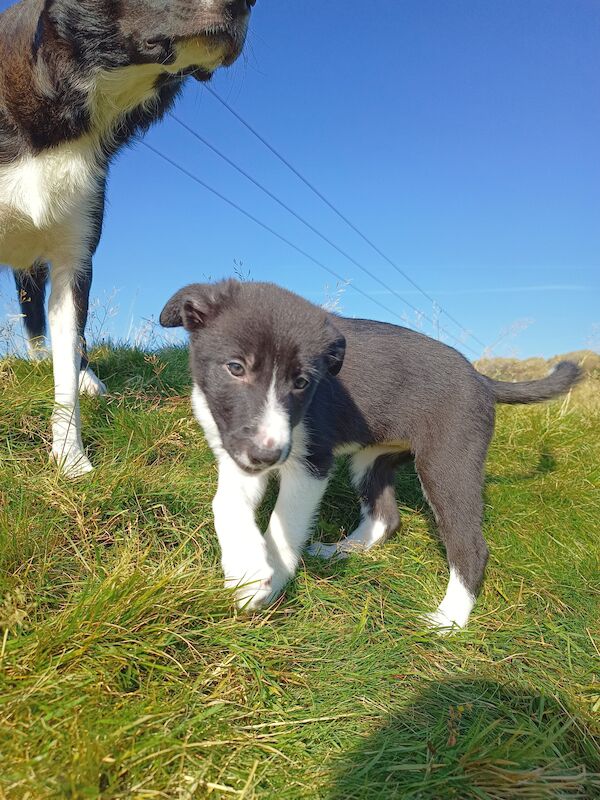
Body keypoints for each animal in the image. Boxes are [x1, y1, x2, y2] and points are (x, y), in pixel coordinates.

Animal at [159, 280, 580, 624]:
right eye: (235, 367)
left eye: (302, 382)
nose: (267, 457)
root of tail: (481, 378)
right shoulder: (240, 454)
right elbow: (225, 505)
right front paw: (245, 569)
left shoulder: (311, 463)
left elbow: (283, 524)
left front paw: (270, 578)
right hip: (371, 459)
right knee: (386, 518)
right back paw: (340, 551)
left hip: (448, 463)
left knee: (472, 547)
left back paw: (449, 619)